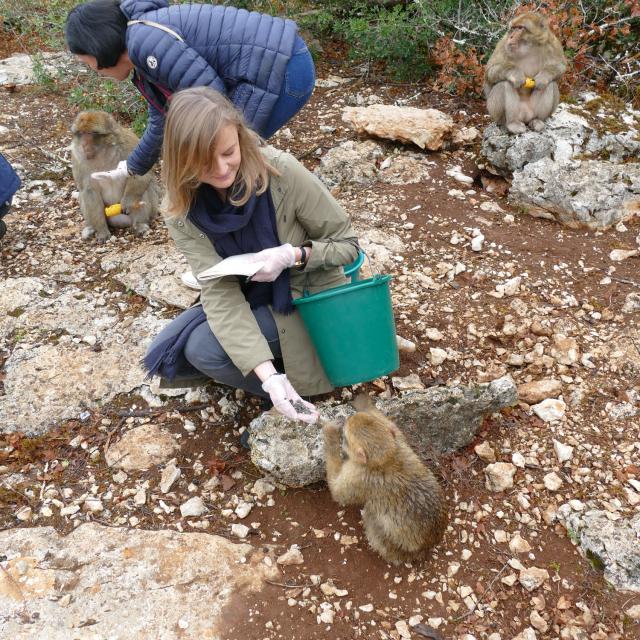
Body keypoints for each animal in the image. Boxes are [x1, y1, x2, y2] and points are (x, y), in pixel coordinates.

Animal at [70, 111, 159, 241]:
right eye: (81, 133)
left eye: (90, 133)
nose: (84, 143)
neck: (102, 153)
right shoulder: (77, 158)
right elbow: (89, 190)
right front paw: (102, 231)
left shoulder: (128, 144)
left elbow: (141, 174)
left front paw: (128, 201)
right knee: (83, 194)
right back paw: (91, 228)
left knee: (144, 189)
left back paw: (140, 224)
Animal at [322, 396, 448, 564]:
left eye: (346, 440)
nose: (347, 419)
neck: (386, 460)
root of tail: (427, 547)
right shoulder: (399, 444)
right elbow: (394, 428)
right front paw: (364, 403)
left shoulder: (358, 476)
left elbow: (338, 493)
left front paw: (330, 434)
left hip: (394, 546)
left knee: (372, 517)